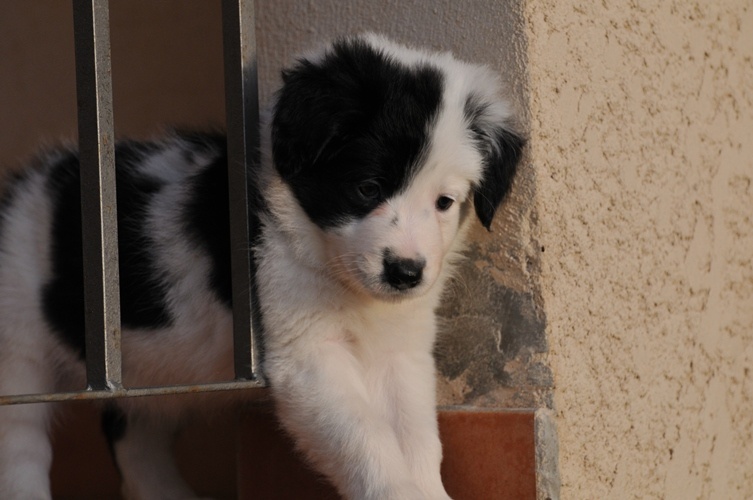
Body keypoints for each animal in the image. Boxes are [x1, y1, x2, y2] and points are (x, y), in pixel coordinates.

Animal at [0, 33, 524, 498]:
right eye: (367, 188)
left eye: (444, 202)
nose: (406, 272)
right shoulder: (308, 355)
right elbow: (365, 437)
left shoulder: (401, 349)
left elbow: (417, 438)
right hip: (19, 353)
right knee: (22, 446)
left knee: (134, 438)